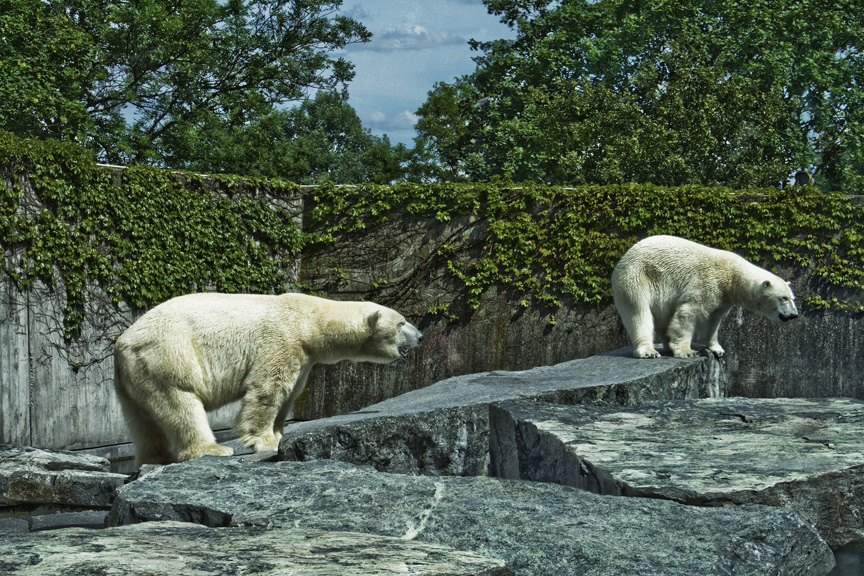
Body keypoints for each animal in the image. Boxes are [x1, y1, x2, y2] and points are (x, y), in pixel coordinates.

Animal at [113, 292, 424, 468]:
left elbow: (289, 395)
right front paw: (264, 442)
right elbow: (268, 388)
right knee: (181, 400)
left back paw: (155, 458)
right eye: (402, 322)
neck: (311, 321)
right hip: (168, 354)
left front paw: (277, 435)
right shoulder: (282, 338)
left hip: (134, 375)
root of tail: (123, 343)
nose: (421, 336)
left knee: (143, 420)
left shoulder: (305, 357)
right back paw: (214, 449)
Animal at [612, 236, 800, 358]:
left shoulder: (723, 298)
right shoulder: (707, 282)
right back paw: (648, 351)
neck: (732, 276)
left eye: (792, 298)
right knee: (639, 312)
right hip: (636, 277)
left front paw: (717, 349)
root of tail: (623, 259)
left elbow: (713, 321)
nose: (794, 315)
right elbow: (688, 312)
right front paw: (687, 351)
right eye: (783, 298)